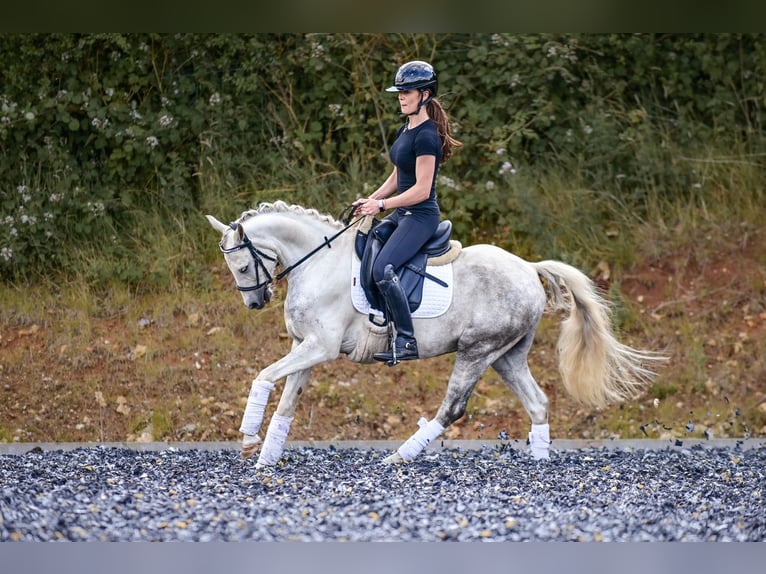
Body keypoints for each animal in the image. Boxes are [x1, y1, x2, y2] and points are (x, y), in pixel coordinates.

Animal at [206, 201, 664, 468]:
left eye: (242, 266)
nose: (255, 302)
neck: (318, 263)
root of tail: (528, 267)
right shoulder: (306, 347)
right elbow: (287, 401)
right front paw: (264, 457)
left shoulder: (320, 347)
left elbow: (263, 377)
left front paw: (247, 439)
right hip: (506, 355)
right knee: (537, 402)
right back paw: (538, 464)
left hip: (477, 352)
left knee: (452, 409)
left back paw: (398, 457)